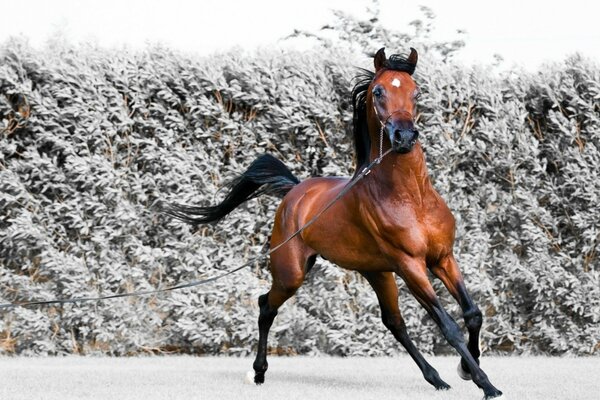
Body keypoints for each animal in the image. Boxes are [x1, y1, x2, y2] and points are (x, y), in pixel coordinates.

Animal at [166, 47, 504, 400]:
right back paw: (258, 373)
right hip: (292, 273)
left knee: (393, 322)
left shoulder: (442, 258)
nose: (404, 137)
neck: (412, 198)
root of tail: (295, 191)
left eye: (416, 91)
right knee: (265, 306)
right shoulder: (411, 265)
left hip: (377, 272)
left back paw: (436, 379)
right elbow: (448, 326)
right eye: (378, 91)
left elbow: (473, 314)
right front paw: (486, 384)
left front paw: (466, 369)